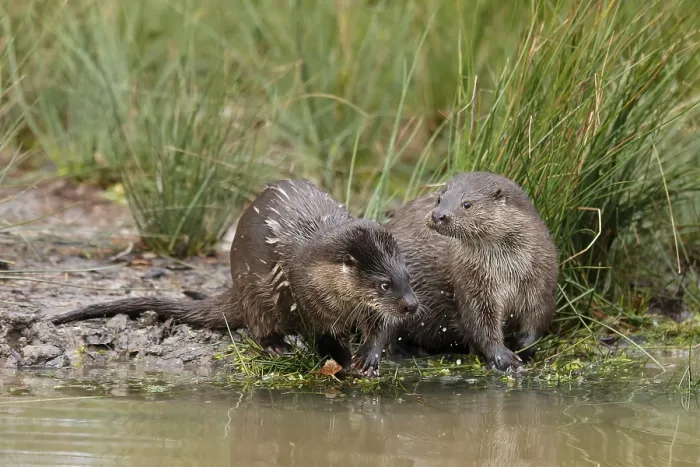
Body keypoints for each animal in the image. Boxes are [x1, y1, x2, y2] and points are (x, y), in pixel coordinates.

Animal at [50, 179, 420, 377]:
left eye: (407, 276)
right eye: (384, 284)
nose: (412, 306)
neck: (315, 271)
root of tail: (235, 288)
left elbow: (383, 326)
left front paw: (368, 358)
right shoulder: (304, 297)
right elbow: (323, 337)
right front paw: (343, 362)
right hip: (255, 295)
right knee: (258, 327)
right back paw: (277, 347)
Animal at [385, 172, 558, 371]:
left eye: (467, 204)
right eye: (439, 199)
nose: (438, 215)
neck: (507, 272)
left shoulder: (542, 281)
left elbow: (538, 318)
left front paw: (524, 347)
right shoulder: (471, 285)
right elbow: (479, 325)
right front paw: (504, 358)